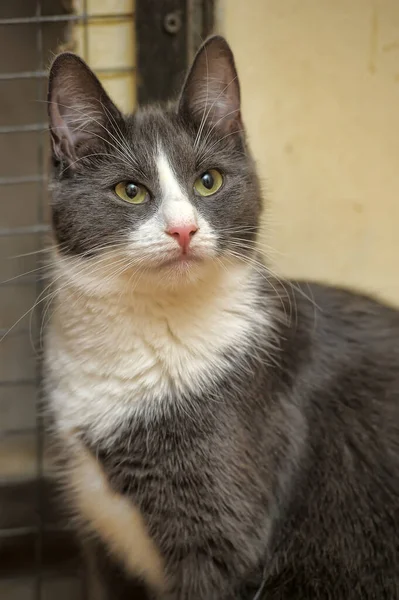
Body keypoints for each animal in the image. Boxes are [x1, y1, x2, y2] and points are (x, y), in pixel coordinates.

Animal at [44, 35, 399, 596]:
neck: (150, 333)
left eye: (208, 181)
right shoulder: (100, 545)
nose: (183, 229)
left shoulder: (220, 538)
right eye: (130, 191)